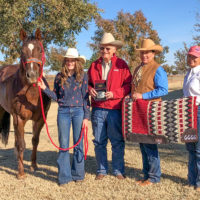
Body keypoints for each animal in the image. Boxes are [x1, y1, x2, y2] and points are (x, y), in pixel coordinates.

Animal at [0, 29, 50, 178]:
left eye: (40, 50)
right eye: (22, 51)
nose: (32, 75)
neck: (31, 93)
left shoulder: (40, 119)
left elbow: (35, 141)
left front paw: (33, 165)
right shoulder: (19, 118)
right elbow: (22, 144)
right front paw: (21, 173)